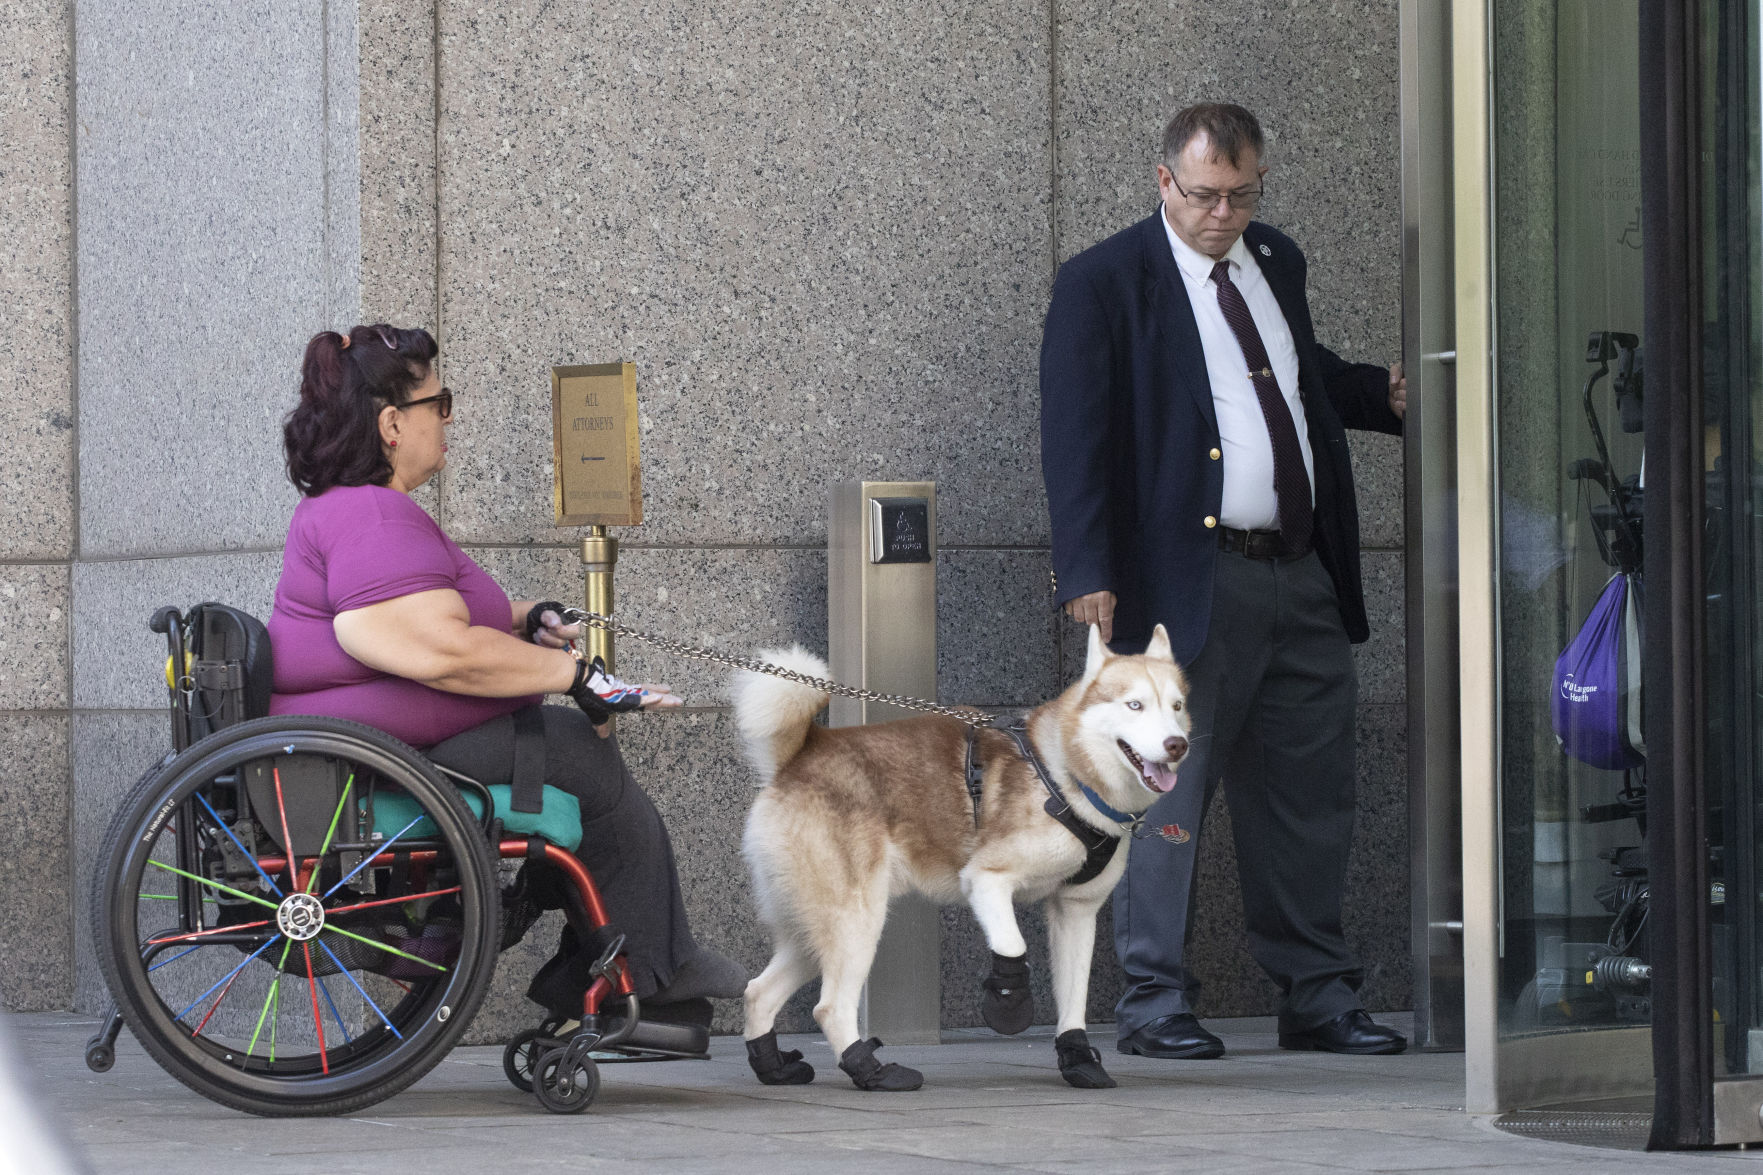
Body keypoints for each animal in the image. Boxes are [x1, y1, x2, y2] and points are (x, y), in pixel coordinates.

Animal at [729, 621, 1198, 1086]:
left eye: (1176, 706)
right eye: (1134, 705)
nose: (1177, 745)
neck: (1066, 777)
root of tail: (799, 755)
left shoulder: (1076, 909)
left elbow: (1073, 998)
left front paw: (1078, 1057)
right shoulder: (985, 880)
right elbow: (1012, 944)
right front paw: (1008, 1002)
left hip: (813, 926)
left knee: (758, 992)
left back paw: (773, 1067)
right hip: (856, 920)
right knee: (830, 1007)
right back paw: (871, 1070)